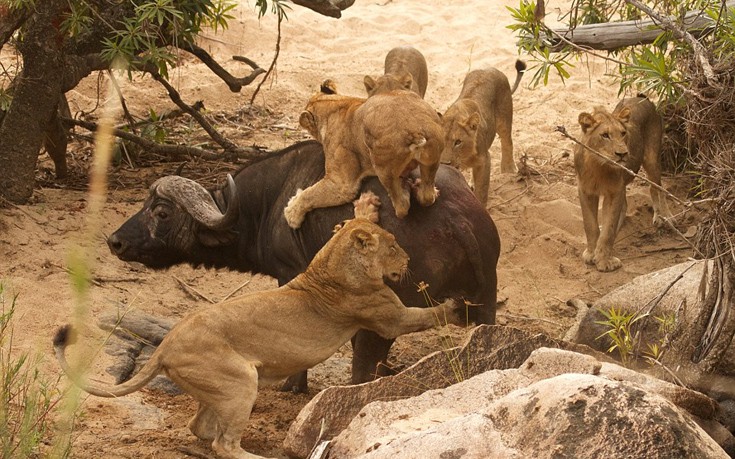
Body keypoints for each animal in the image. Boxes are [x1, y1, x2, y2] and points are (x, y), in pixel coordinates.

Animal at [54, 191, 462, 459]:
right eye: (393, 246)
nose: (406, 259)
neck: (332, 262)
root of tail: (166, 345)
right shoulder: (388, 317)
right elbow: (427, 315)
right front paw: (457, 306)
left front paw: (367, 205)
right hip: (240, 381)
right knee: (223, 445)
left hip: (220, 387)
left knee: (200, 428)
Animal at [108, 140, 500, 392]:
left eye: (161, 212)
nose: (116, 241)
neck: (263, 205)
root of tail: (458, 218)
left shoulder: (289, 276)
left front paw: (291, 385)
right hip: (486, 308)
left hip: (385, 319)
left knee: (364, 366)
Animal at [284, 82, 442, 229]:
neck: (332, 105)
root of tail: (415, 128)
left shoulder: (341, 184)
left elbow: (310, 194)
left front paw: (291, 214)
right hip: (432, 160)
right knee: (427, 197)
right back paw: (422, 188)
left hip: (382, 167)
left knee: (401, 208)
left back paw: (404, 187)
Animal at [440, 59, 528, 205]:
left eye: (458, 142)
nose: (444, 164)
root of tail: (492, 69)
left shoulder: (485, 160)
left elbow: (482, 191)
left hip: (504, 118)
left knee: (507, 141)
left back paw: (509, 169)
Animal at [576, 95, 676, 272]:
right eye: (605, 135)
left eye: (623, 133)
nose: (622, 154)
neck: (598, 166)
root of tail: (641, 97)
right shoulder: (585, 190)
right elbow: (590, 225)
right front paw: (591, 253)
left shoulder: (614, 191)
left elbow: (608, 229)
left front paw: (604, 260)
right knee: (627, 204)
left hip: (652, 158)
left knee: (657, 188)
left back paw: (664, 217)